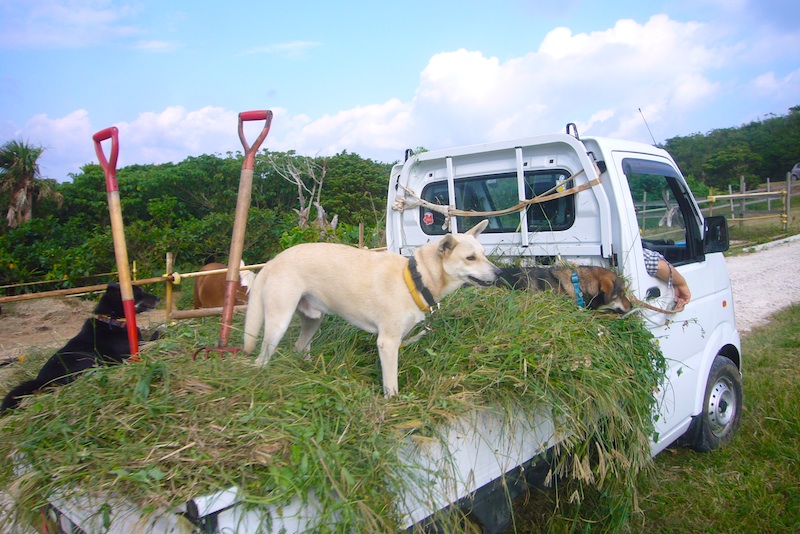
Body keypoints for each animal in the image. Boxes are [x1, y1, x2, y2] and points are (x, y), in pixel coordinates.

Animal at [1, 282, 161, 412]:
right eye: (139, 291)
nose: (159, 298)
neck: (112, 320)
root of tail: (41, 381)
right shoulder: (132, 351)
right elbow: (155, 336)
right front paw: (163, 329)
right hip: (87, 359)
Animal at [242, 219, 500, 398]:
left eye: (484, 254)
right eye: (470, 258)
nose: (499, 273)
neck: (416, 278)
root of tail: (273, 261)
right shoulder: (387, 343)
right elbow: (391, 384)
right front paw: (393, 405)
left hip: (313, 320)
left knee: (300, 346)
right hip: (278, 324)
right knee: (261, 360)